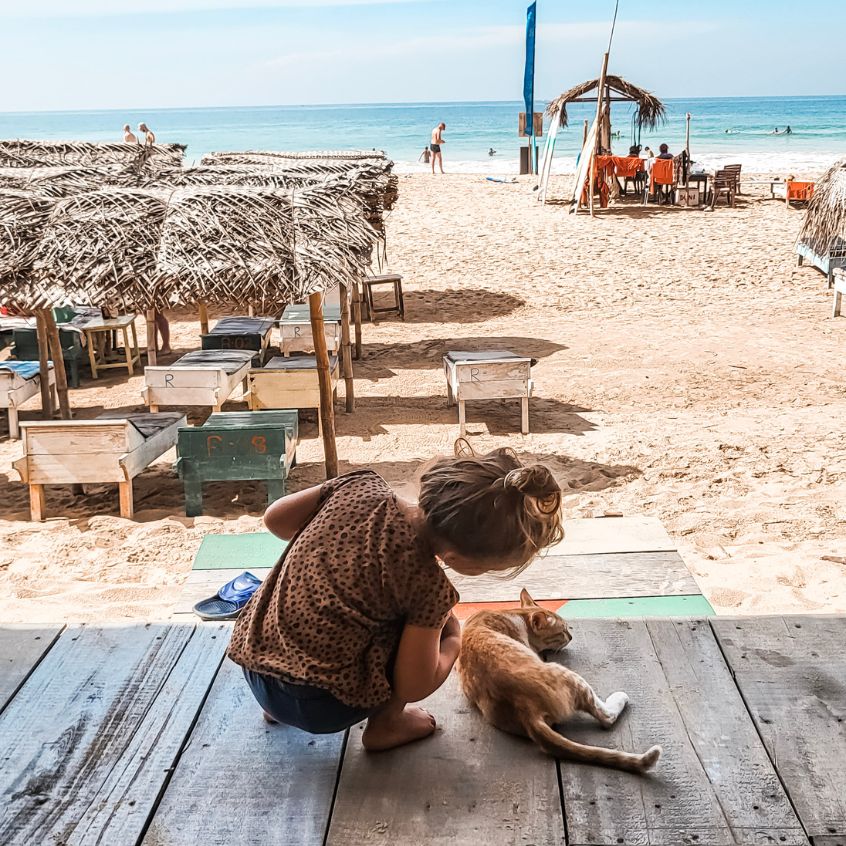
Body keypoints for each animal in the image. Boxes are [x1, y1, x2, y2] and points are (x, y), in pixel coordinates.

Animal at [458, 588, 664, 776]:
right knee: (606, 717)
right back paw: (619, 698)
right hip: (573, 678)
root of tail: (525, 710)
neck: (514, 614)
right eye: (563, 631)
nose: (571, 637)